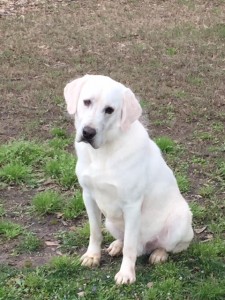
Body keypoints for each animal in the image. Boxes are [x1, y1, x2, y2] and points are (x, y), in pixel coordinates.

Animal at [63, 74, 193, 284]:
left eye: (109, 110)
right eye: (86, 102)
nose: (88, 132)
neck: (103, 153)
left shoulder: (132, 205)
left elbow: (130, 247)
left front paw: (126, 274)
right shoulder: (88, 196)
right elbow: (94, 232)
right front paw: (92, 256)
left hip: (180, 220)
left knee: (165, 247)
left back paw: (158, 254)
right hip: (110, 221)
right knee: (124, 239)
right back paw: (116, 245)